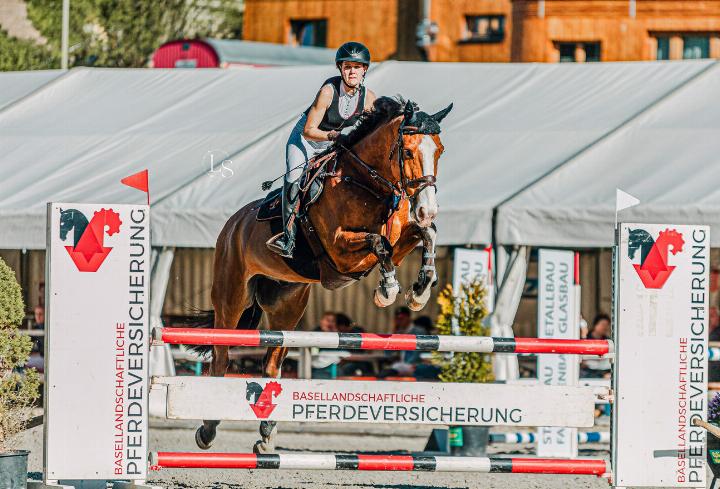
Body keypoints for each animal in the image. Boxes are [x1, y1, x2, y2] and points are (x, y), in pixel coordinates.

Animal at [190, 96, 450, 454]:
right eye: (408, 152)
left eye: (439, 150)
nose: (427, 209)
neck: (367, 184)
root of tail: (232, 225)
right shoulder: (341, 254)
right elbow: (379, 242)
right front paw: (387, 290)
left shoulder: (398, 240)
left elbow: (425, 234)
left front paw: (420, 290)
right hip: (231, 299)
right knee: (220, 358)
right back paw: (208, 429)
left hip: (288, 306)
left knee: (271, 363)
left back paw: (267, 435)